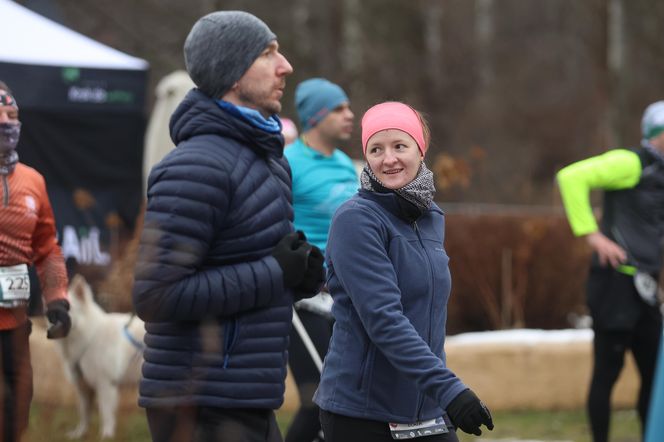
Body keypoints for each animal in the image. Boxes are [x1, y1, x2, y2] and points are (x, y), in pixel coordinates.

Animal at [55, 274, 147, 440]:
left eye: (68, 311)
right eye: (52, 313)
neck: (90, 336)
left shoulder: (106, 385)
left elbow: (105, 413)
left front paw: (106, 435)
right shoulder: (83, 388)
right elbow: (84, 414)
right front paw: (80, 433)